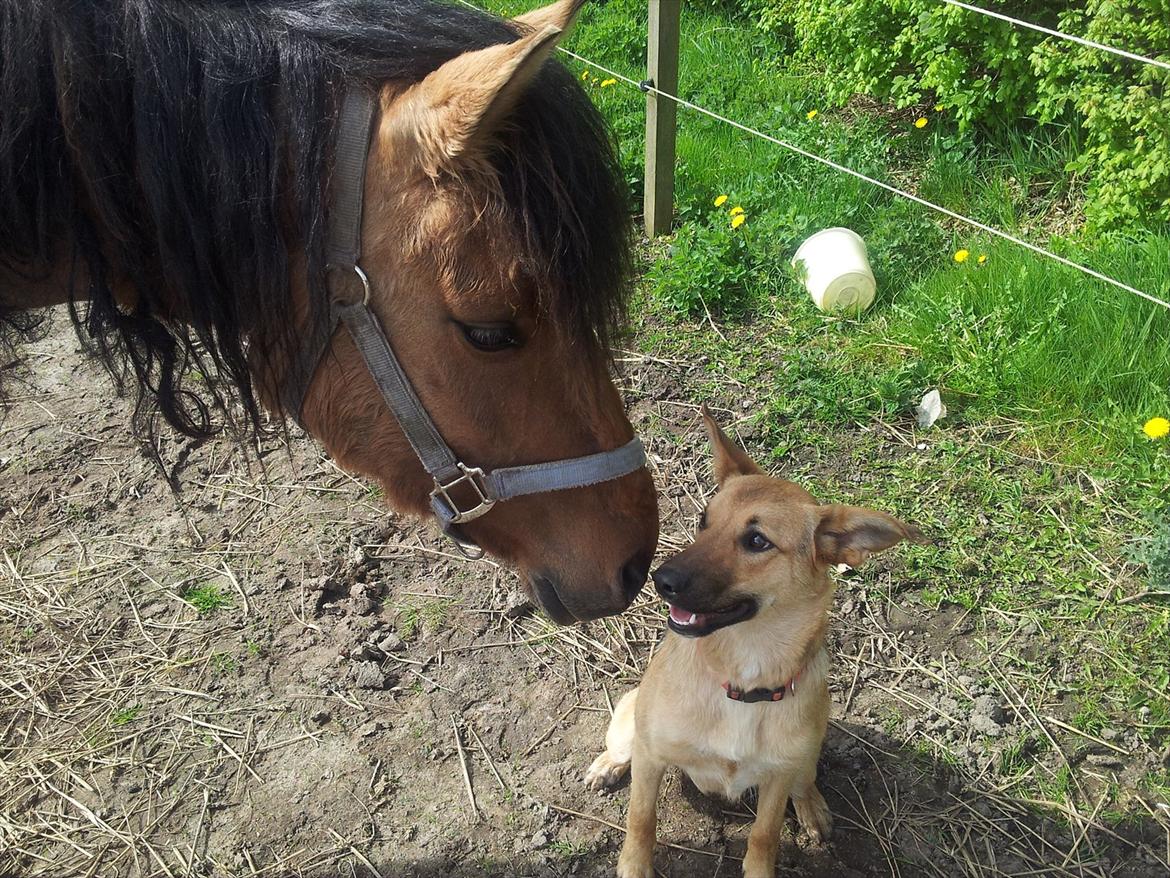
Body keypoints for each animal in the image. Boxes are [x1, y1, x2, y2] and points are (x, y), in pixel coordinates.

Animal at [585, 412, 921, 878]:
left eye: (758, 541)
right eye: (704, 521)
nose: (659, 579)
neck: (744, 677)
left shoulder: (777, 777)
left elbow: (765, 835)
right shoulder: (651, 758)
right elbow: (641, 819)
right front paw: (634, 866)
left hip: (812, 736)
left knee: (805, 778)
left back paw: (812, 806)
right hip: (631, 716)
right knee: (622, 749)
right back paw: (607, 765)